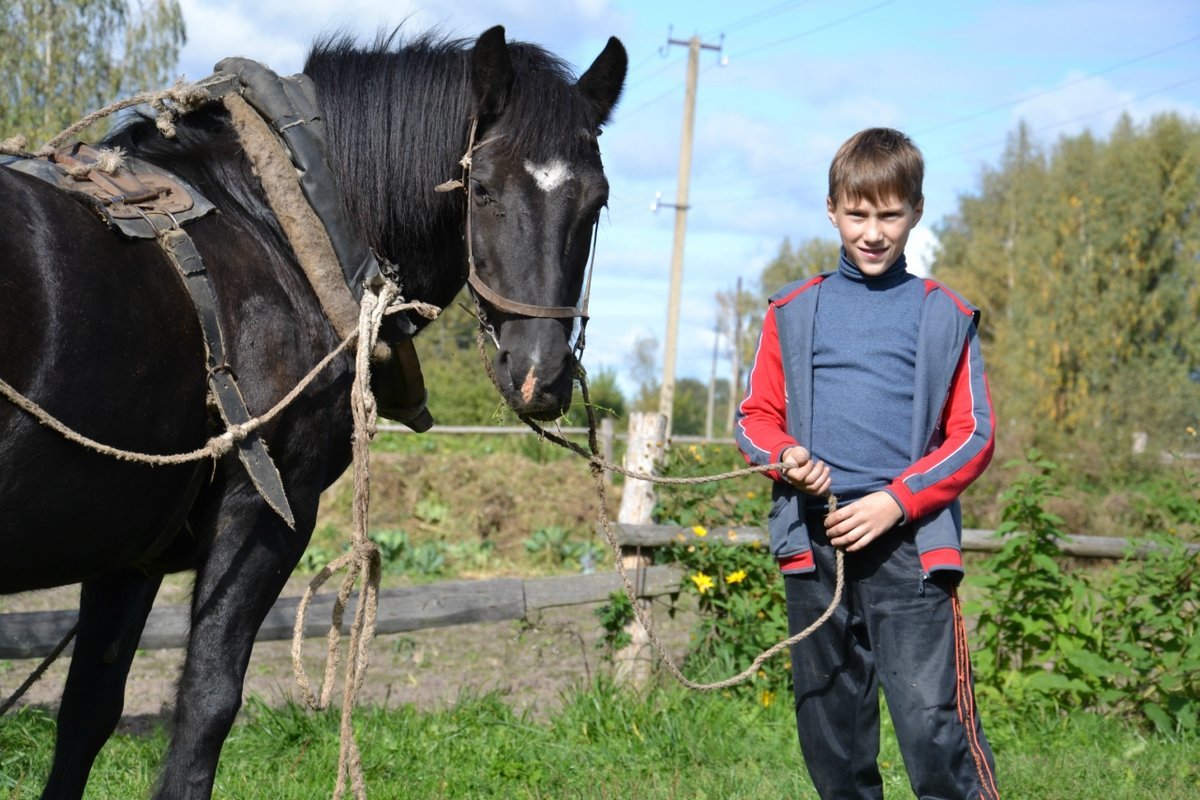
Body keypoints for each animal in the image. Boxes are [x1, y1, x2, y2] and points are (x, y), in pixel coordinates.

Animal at [0, 26, 624, 800]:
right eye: (481, 188)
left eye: (596, 202)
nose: (541, 374)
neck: (270, 217)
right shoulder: (268, 511)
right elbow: (205, 707)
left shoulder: (132, 545)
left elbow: (87, 710)